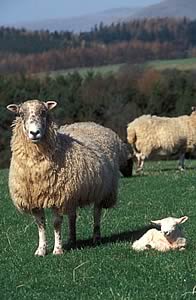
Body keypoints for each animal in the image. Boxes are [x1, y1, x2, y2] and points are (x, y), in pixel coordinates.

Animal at [7, 99, 119, 256]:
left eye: (44, 112)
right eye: (21, 114)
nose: (34, 133)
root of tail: (91, 123)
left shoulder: (58, 196)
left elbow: (56, 223)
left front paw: (57, 250)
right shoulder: (34, 200)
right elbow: (41, 225)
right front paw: (41, 250)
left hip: (103, 189)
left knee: (96, 213)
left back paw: (96, 238)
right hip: (73, 194)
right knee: (73, 216)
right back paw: (72, 239)